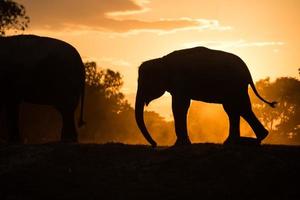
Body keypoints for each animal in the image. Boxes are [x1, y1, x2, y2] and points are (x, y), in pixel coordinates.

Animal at [136, 46, 276, 147]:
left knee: (239, 107)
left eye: (144, 83)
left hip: (235, 85)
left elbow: (179, 106)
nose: (155, 144)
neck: (162, 60)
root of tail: (247, 70)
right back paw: (243, 141)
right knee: (234, 109)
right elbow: (182, 106)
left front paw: (180, 145)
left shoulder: (180, 82)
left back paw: (248, 140)